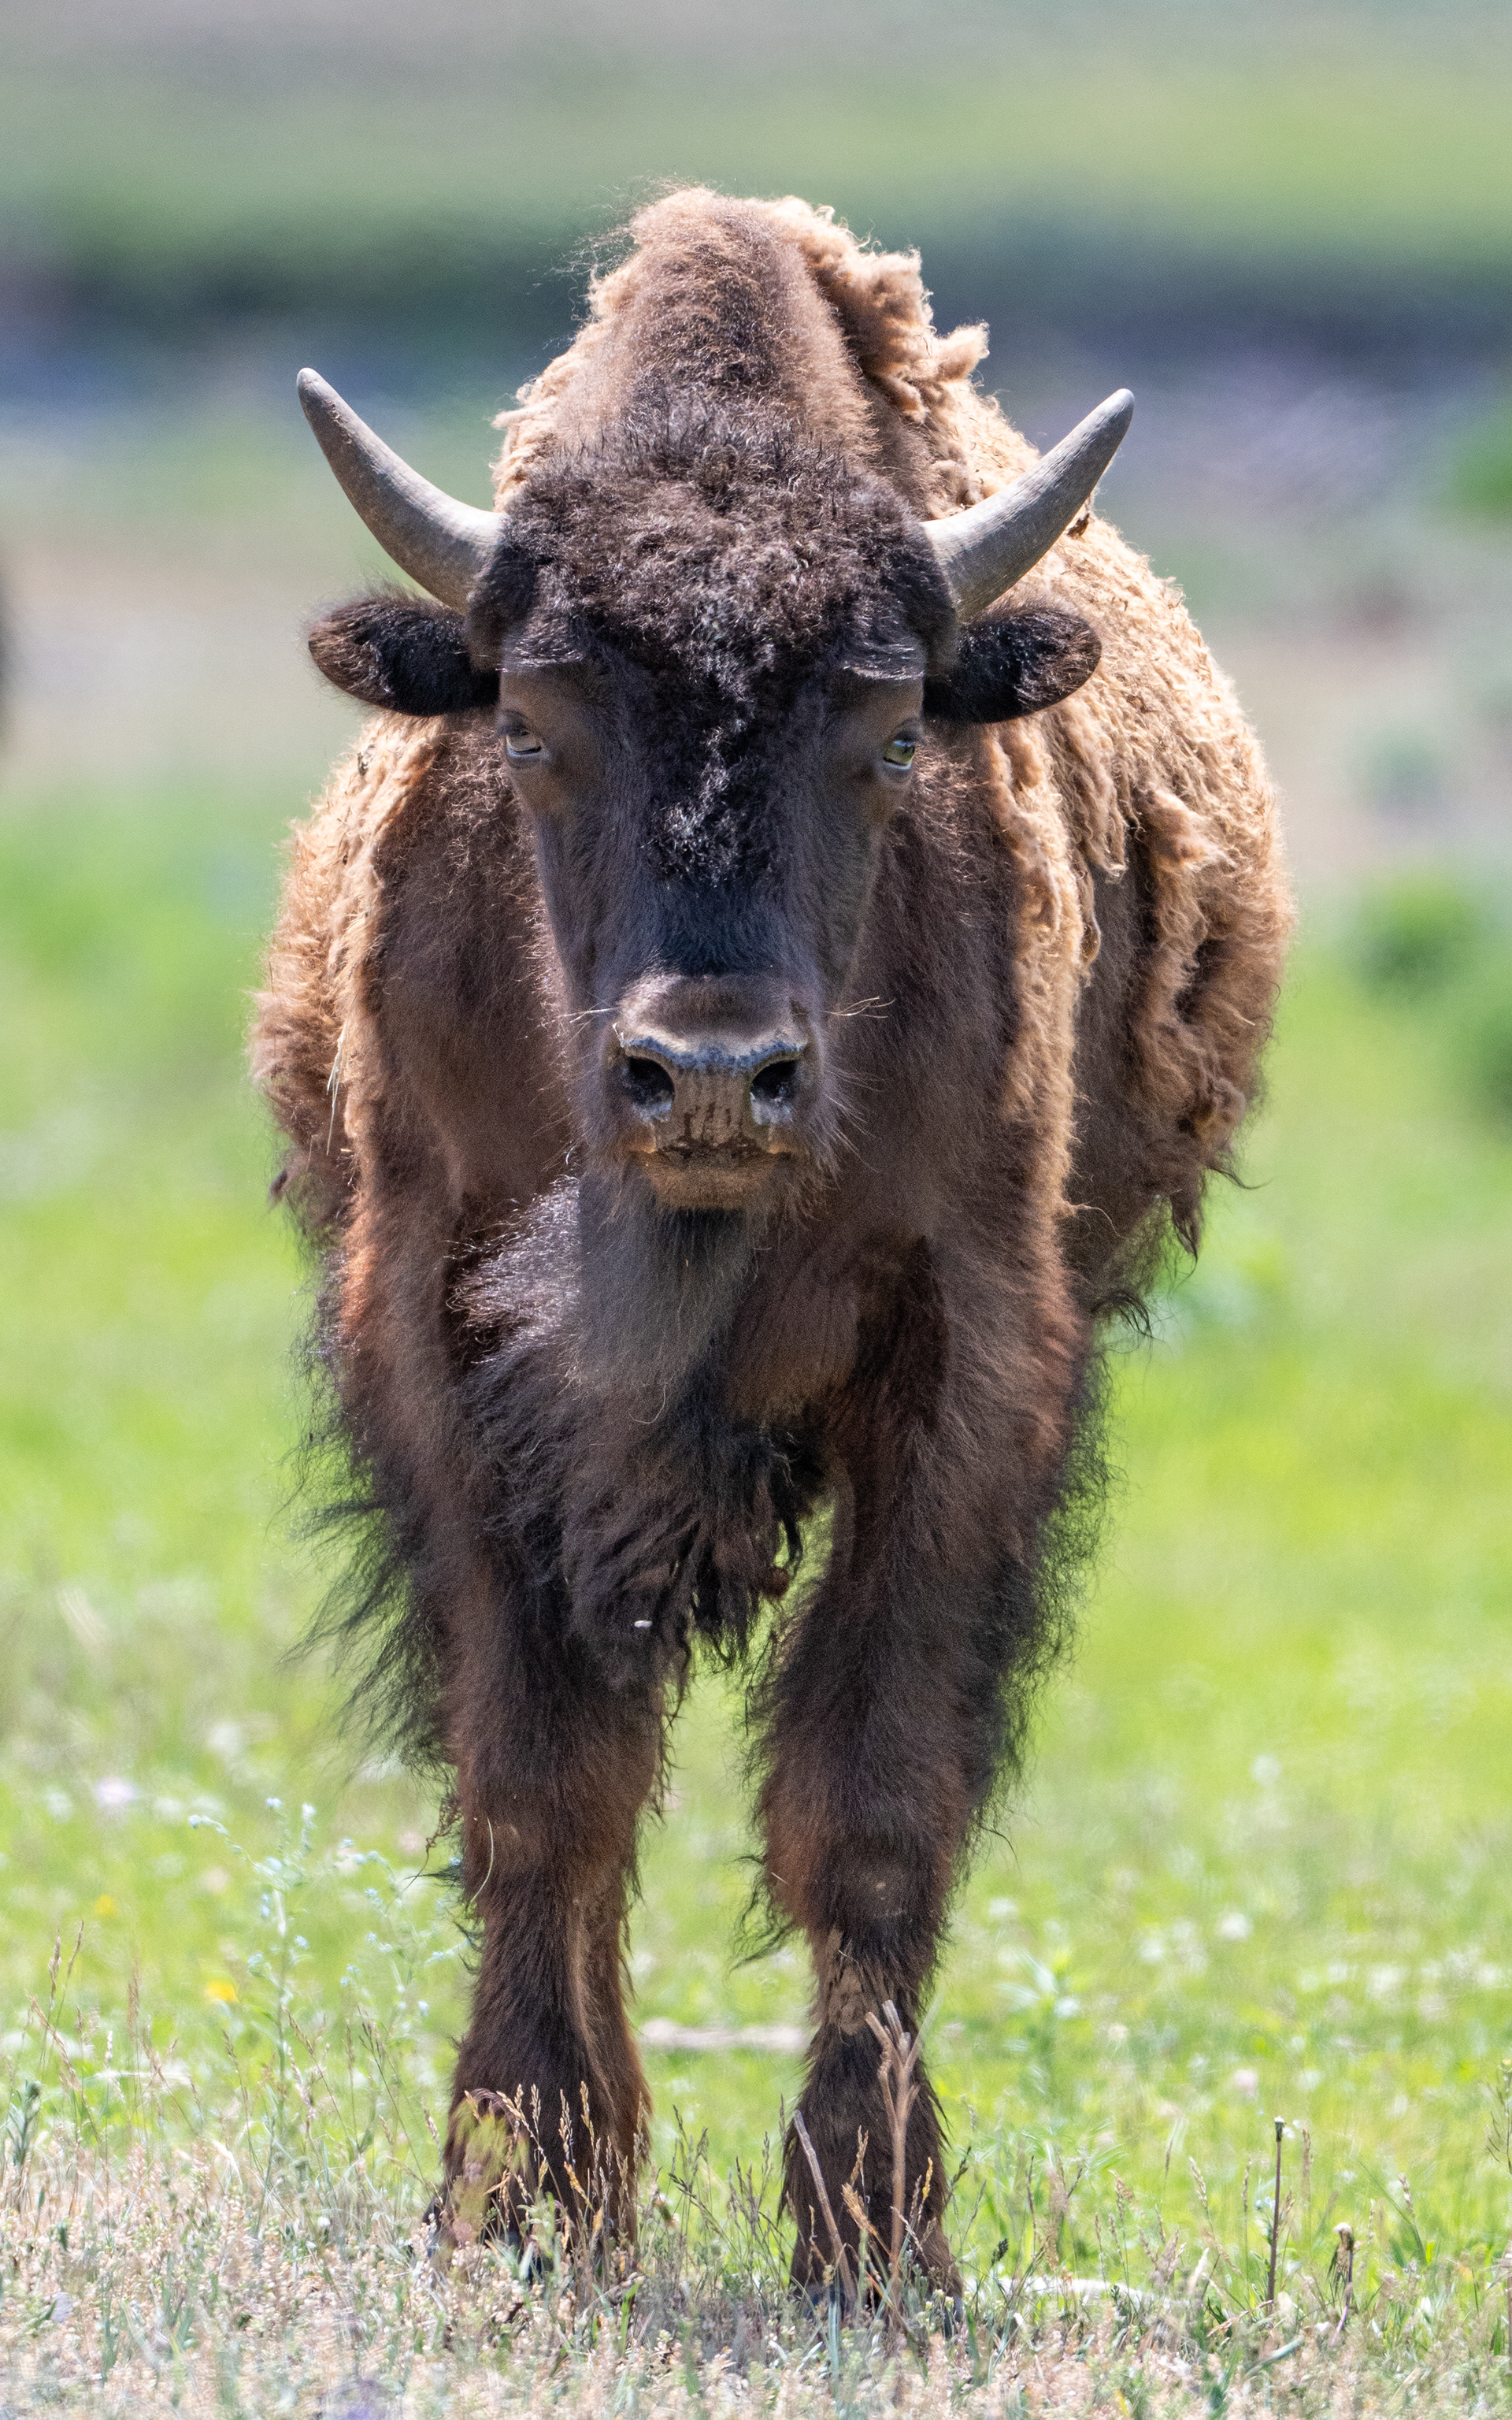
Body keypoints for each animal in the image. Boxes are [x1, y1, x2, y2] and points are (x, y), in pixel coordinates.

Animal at [255, 189, 1290, 2287]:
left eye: (888, 730)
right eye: (535, 719)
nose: (714, 1075)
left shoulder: (965, 1358)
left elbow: (869, 1801)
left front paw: (876, 2231)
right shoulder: (440, 1338)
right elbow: (542, 1782)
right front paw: (521, 2196)